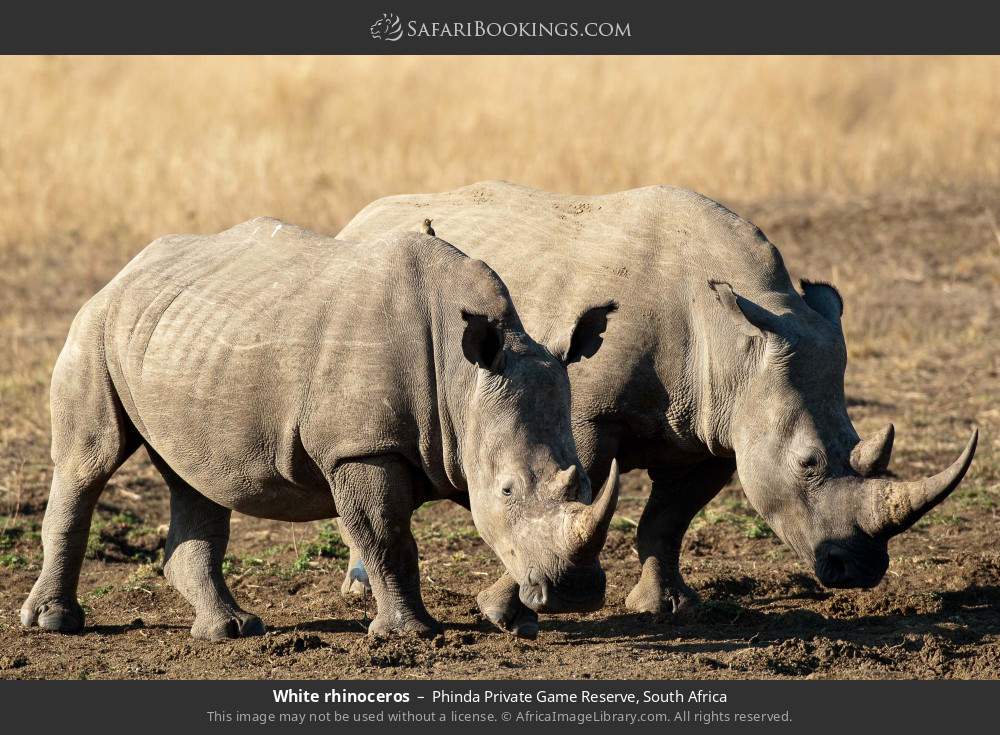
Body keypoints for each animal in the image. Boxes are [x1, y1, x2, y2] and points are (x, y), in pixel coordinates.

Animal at [19, 218, 620, 640]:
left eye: (585, 483)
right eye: (507, 490)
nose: (577, 594)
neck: (463, 380)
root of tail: (125, 269)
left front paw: (520, 623)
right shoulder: (360, 448)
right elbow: (385, 536)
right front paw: (411, 634)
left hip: (178, 341)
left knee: (195, 478)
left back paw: (231, 630)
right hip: (94, 326)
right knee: (89, 461)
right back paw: (54, 623)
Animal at [338, 181, 978, 636]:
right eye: (809, 464)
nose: (860, 570)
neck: (737, 338)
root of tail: (358, 220)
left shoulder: (716, 425)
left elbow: (669, 518)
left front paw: (665, 606)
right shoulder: (585, 412)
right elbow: (566, 496)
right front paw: (507, 610)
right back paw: (360, 587)